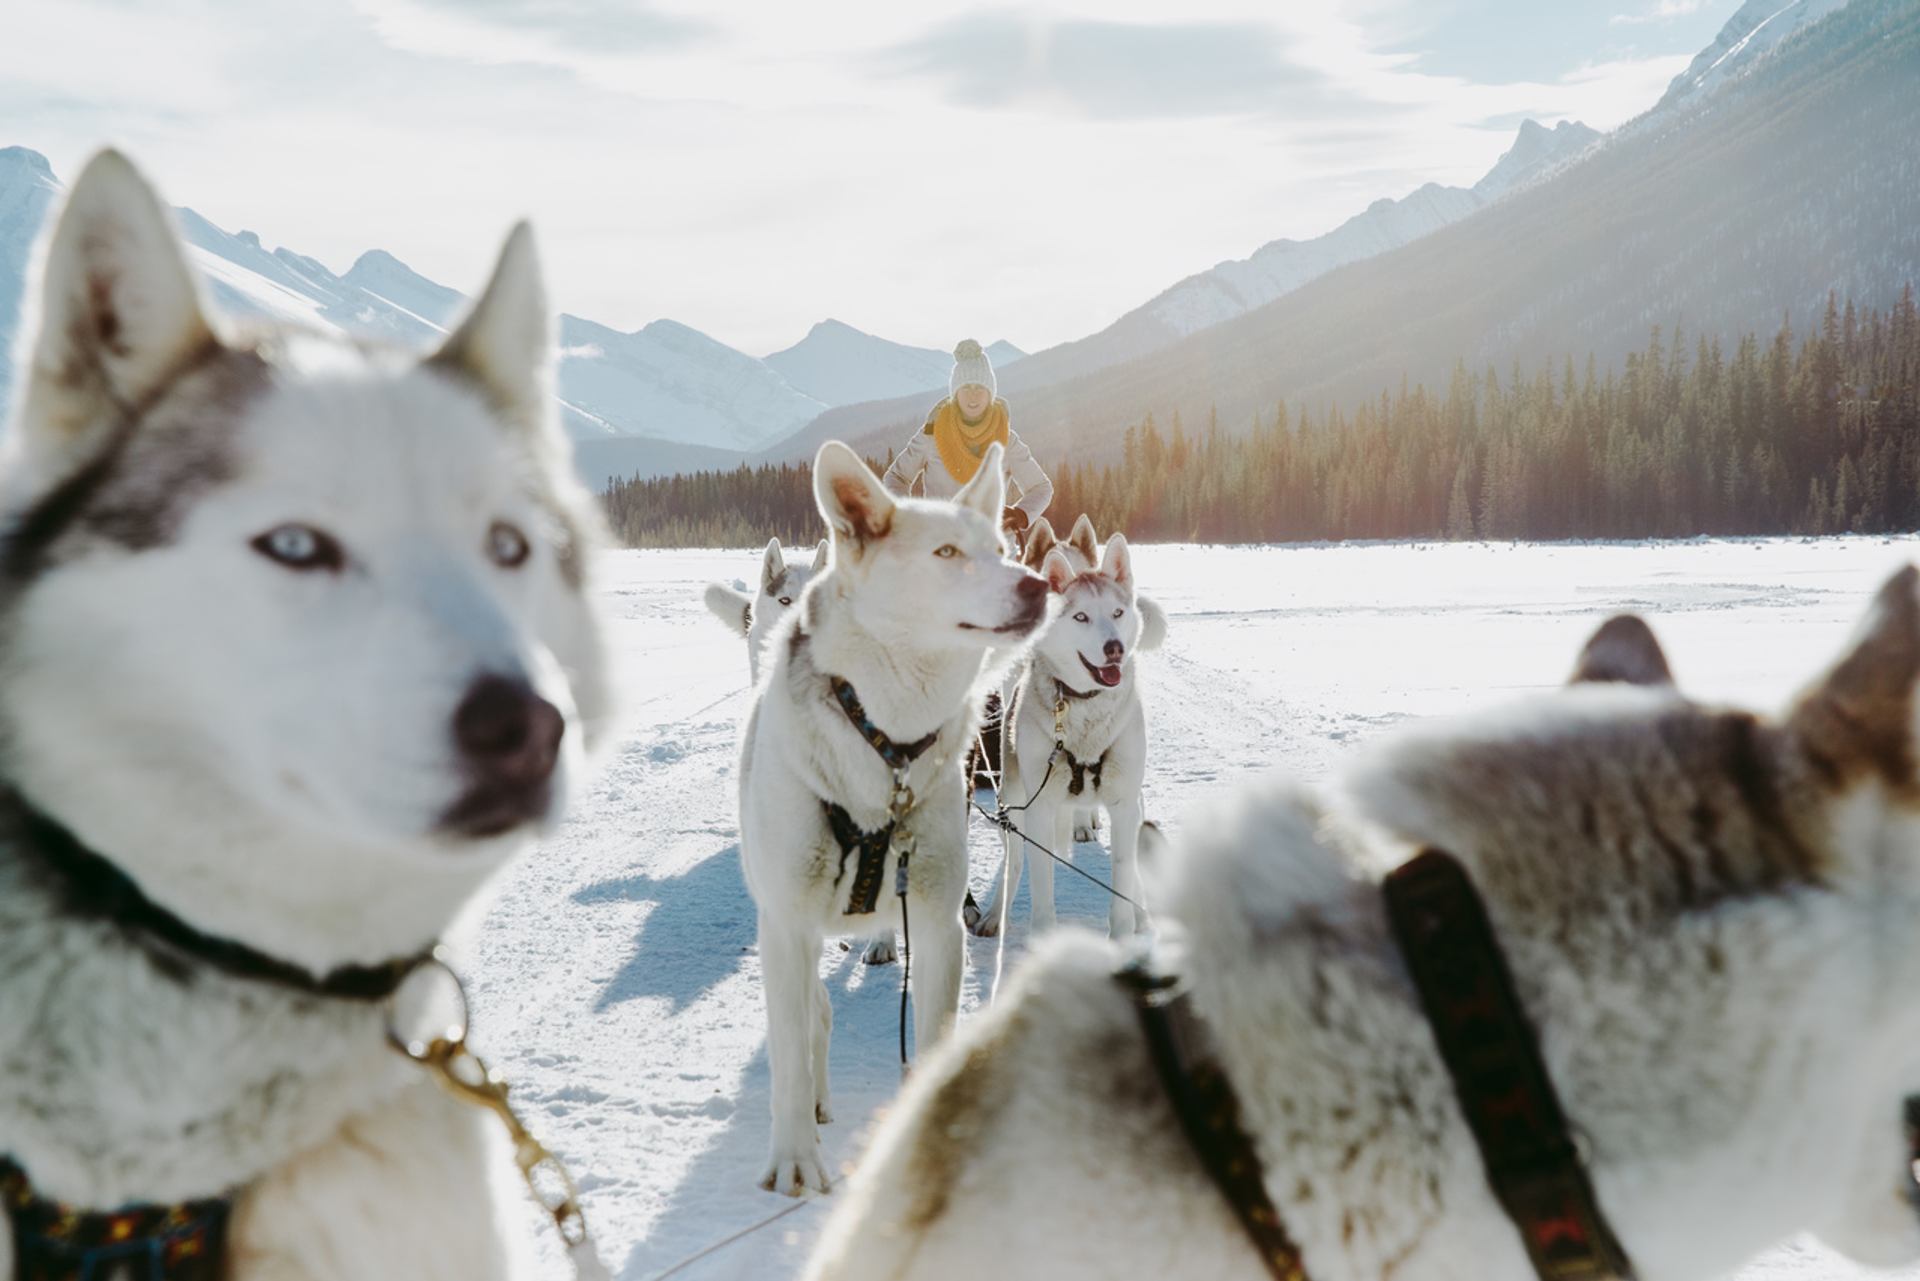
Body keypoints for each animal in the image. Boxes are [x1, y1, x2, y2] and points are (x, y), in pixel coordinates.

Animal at [733, 443, 1044, 1206]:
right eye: (946, 551)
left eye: (1001, 550)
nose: (1038, 588)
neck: (887, 743)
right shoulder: (787, 923)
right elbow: (790, 1049)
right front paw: (794, 1158)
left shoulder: (937, 923)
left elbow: (934, 1038)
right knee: (812, 1014)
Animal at [975, 530, 1152, 941]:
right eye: (1081, 616)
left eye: (1117, 613)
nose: (1115, 648)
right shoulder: (1039, 809)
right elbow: (1041, 888)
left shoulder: (1124, 804)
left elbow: (1123, 881)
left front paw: (1124, 933)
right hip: (1015, 799)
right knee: (1014, 862)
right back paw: (995, 913)